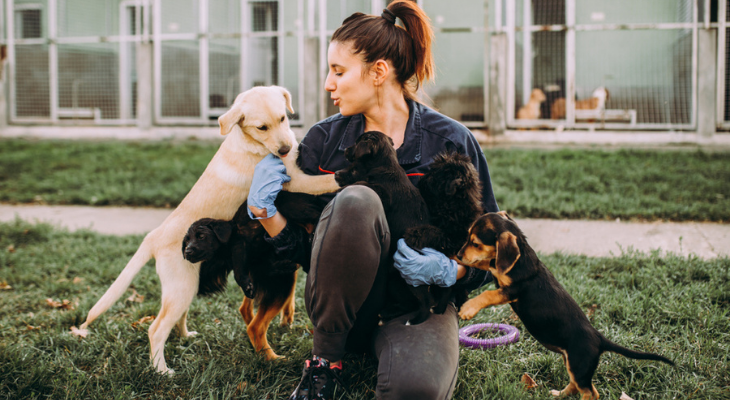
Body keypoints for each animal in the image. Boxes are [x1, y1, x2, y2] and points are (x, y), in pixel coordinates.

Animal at [181, 191, 322, 360]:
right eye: (187, 241)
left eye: (201, 236)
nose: (187, 251)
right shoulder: (241, 241)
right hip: (281, 283)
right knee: (255, 327)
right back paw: (274, 359)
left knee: (246, 310)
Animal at [334, 131, 432, 324]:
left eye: (356, 144)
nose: (335, 174)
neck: (385, 165)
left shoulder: (383, 193)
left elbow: (365, 183)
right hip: (393, 282)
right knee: (407, 303)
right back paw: (387, 313)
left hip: (412, 279)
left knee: (424, 302)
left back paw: (413, 319)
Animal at [400, 152, 480, 318]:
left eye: (434, 177)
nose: (421, 181)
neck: (451, 205)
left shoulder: (454, 239)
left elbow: (437, 232)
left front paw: (415, 233)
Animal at [458, 212, 672, 396]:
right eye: (467, 237)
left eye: (475, 243)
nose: (459, 255)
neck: (521, 260)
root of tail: (599, 338)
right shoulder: (497, 271)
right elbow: (484, 263)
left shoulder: (513, 290)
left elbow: (488, 294)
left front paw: (468, 308)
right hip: (572, 363)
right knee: (578, 386)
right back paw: (559, 394)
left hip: (578, 365)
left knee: (591, 392)